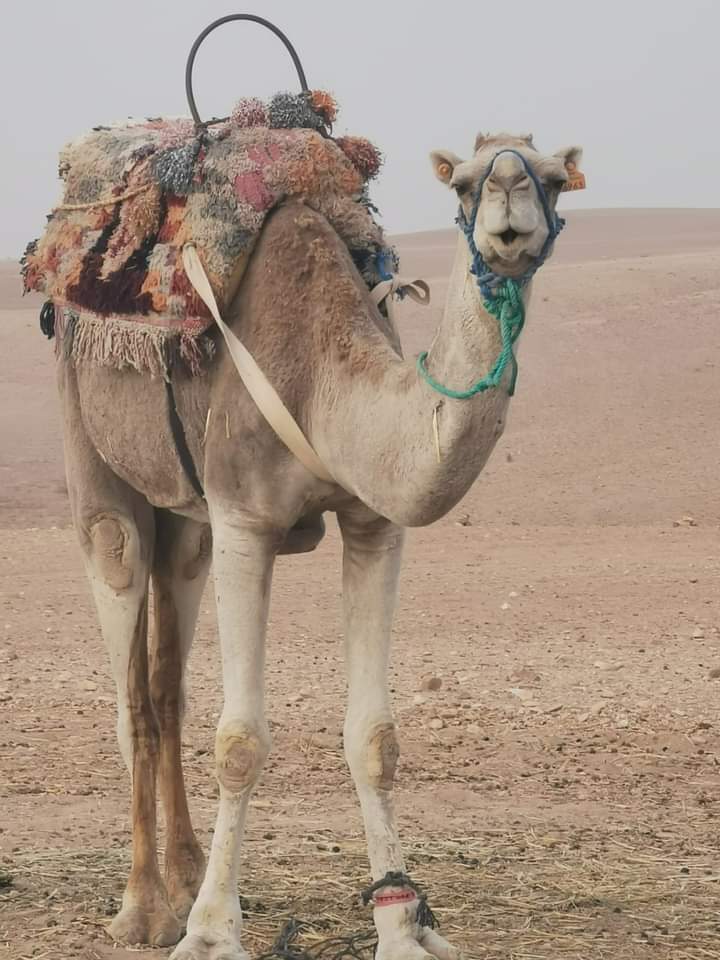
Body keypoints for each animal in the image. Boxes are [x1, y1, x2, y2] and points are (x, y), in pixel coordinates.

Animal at [56, 131, 582, 960]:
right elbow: (239, 742)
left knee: (168, 679)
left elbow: (376, 740)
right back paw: (147, 910)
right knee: (129, 670)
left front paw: (402, 926)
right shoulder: (244, 516)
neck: (323, 376)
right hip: (96, 456)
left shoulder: (372, 524)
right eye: (463, 184)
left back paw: (187, 872)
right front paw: (211, 932)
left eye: (557, 180)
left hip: (188, 521)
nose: (509, 208)